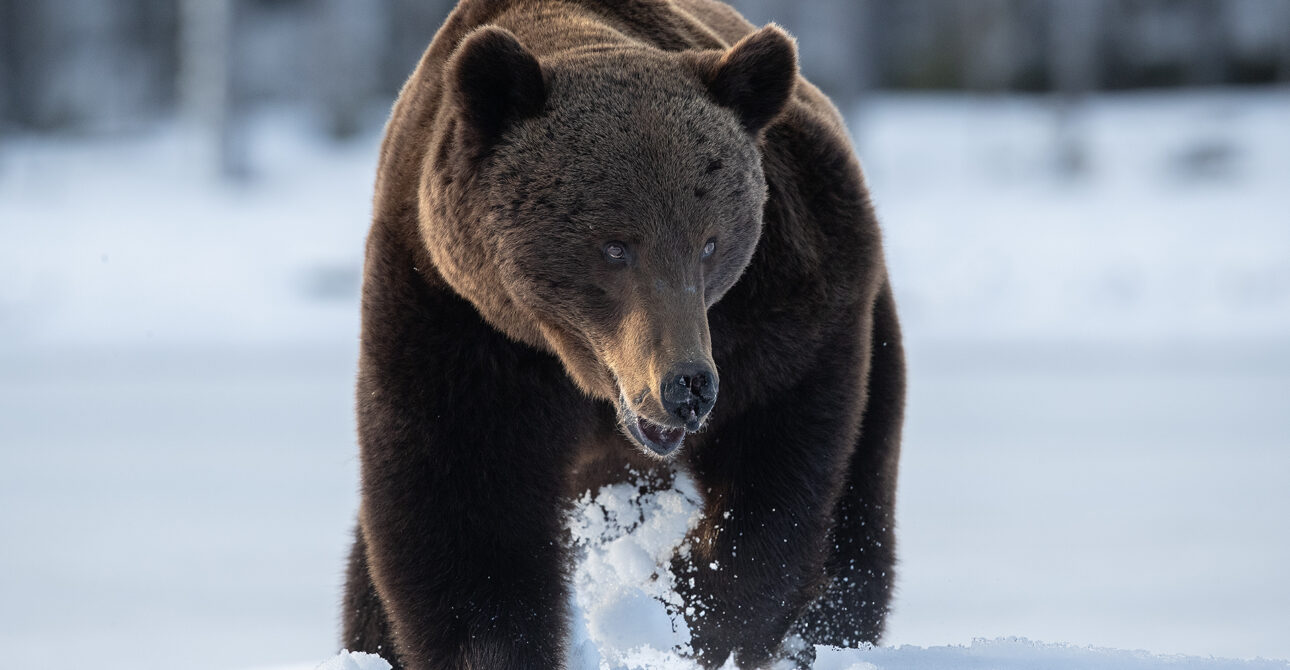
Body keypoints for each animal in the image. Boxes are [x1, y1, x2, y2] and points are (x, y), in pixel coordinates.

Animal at [341, 0, 905, 668]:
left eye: (709, 241)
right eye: (614, 246)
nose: (686, 386)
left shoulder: (788, 305)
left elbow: (774, 485)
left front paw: (681, 613)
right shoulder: (453, 320)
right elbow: (463, 519)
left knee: (858, 525)